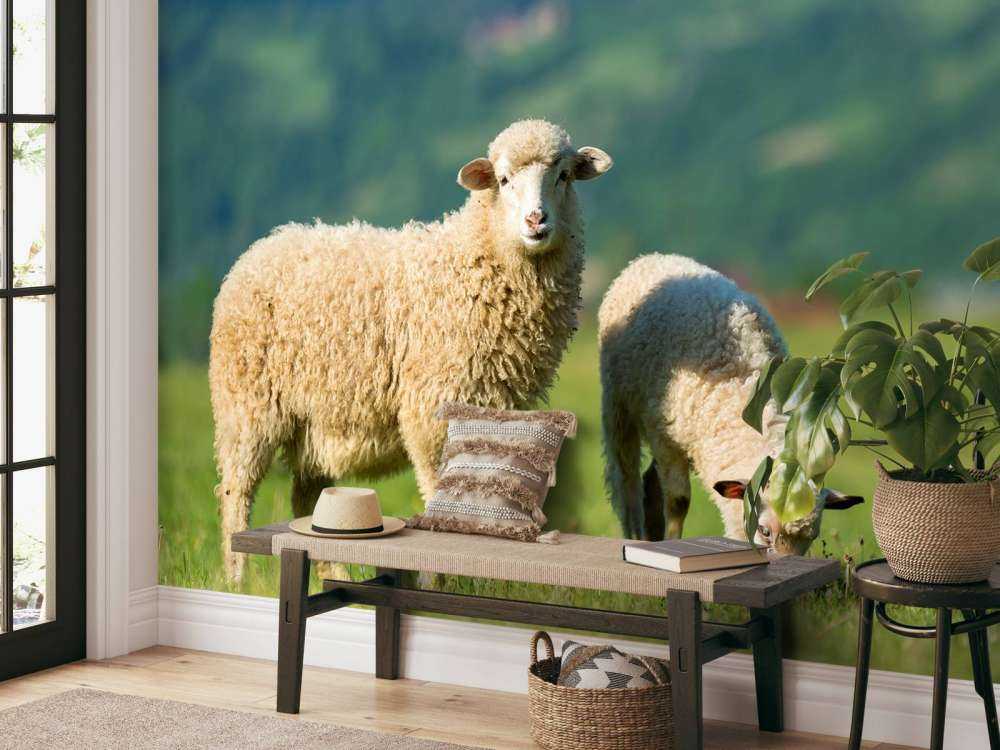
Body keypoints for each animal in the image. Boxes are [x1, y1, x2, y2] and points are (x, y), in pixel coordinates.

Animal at [210, 119, 613, 581]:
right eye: (504, 179)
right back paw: (236, 578)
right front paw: (437, 577)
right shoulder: (431, 410)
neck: (476, 259)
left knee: (310, 499)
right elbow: (438, 491)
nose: (536, 219)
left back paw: (335, 573)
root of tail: (265, 245)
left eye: (563, 176)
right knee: (236, 493)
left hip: (318, 420)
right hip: (246, 404)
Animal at [598, 254, 861, 555]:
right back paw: (633, 531)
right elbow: (678, 501)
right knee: (625, 478)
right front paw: (673, 541)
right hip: (618, 404)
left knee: (650, 483)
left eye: (812, 537)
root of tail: (654, 257)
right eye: (764, 531)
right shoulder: (663, 435)